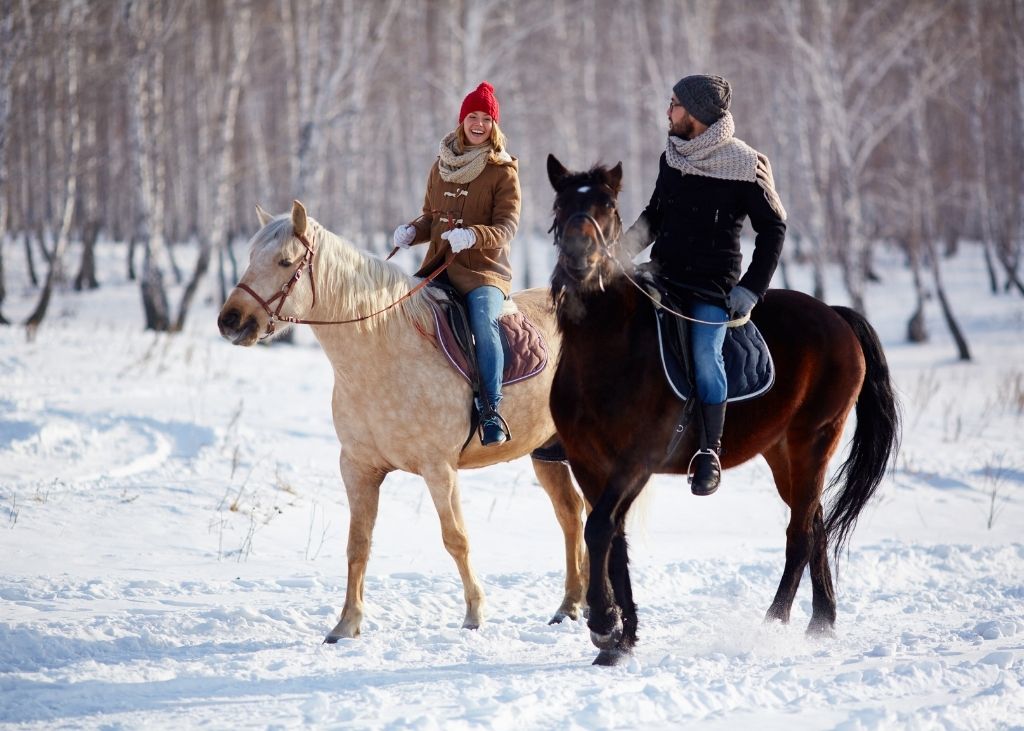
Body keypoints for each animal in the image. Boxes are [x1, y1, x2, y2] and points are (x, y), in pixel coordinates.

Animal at [216, 199, 585, 638]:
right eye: (251, 257)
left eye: (285, 261)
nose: (230, 321)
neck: (384, 352)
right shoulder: (358, 468)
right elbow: (358, 544)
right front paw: (346, 624)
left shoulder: (439, 469)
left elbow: (455, 538)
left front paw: (474, 614)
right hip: (547, 453)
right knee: (571, 515)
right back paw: (570, 605)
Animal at [548, 155, 901, 667]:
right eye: (560, 204)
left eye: (608, 206)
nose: (578, 259)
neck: (607, 347)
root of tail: (836, 315)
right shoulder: (588, 463)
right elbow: (613, 539)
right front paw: (620, 639)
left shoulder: (636, 462)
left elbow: (599, 530)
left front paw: (603, 625)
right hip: (782, 452)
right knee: (814, 521)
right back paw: (821, 623)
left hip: (814, 439)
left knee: (800, 534)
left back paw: (773, 624)